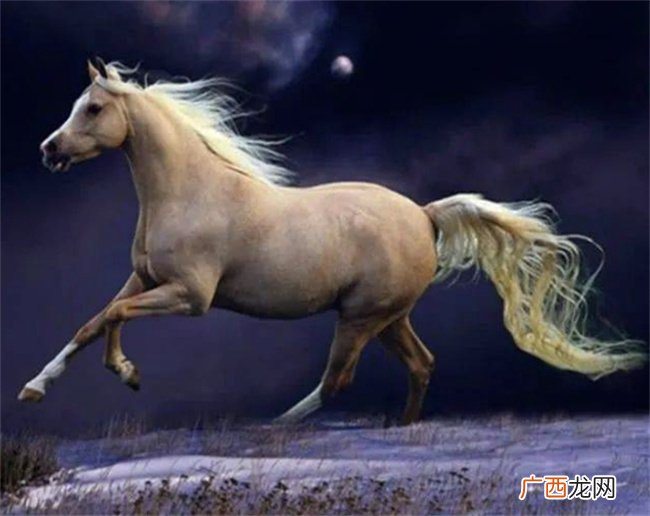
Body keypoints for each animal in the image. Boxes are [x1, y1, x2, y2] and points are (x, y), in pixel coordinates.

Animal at [18, 58, 646, 425]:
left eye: (94, 107)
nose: (49, 150)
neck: (190, 193)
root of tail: (424, 215)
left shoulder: (189, 297)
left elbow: (112, 317)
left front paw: (127, 373)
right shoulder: (145, 278)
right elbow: (93, 322)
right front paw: (37, 388)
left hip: (360, 317)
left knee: (337, 380)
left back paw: (271, 431)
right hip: (389, 317)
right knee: (422, 364)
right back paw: (403, 426)